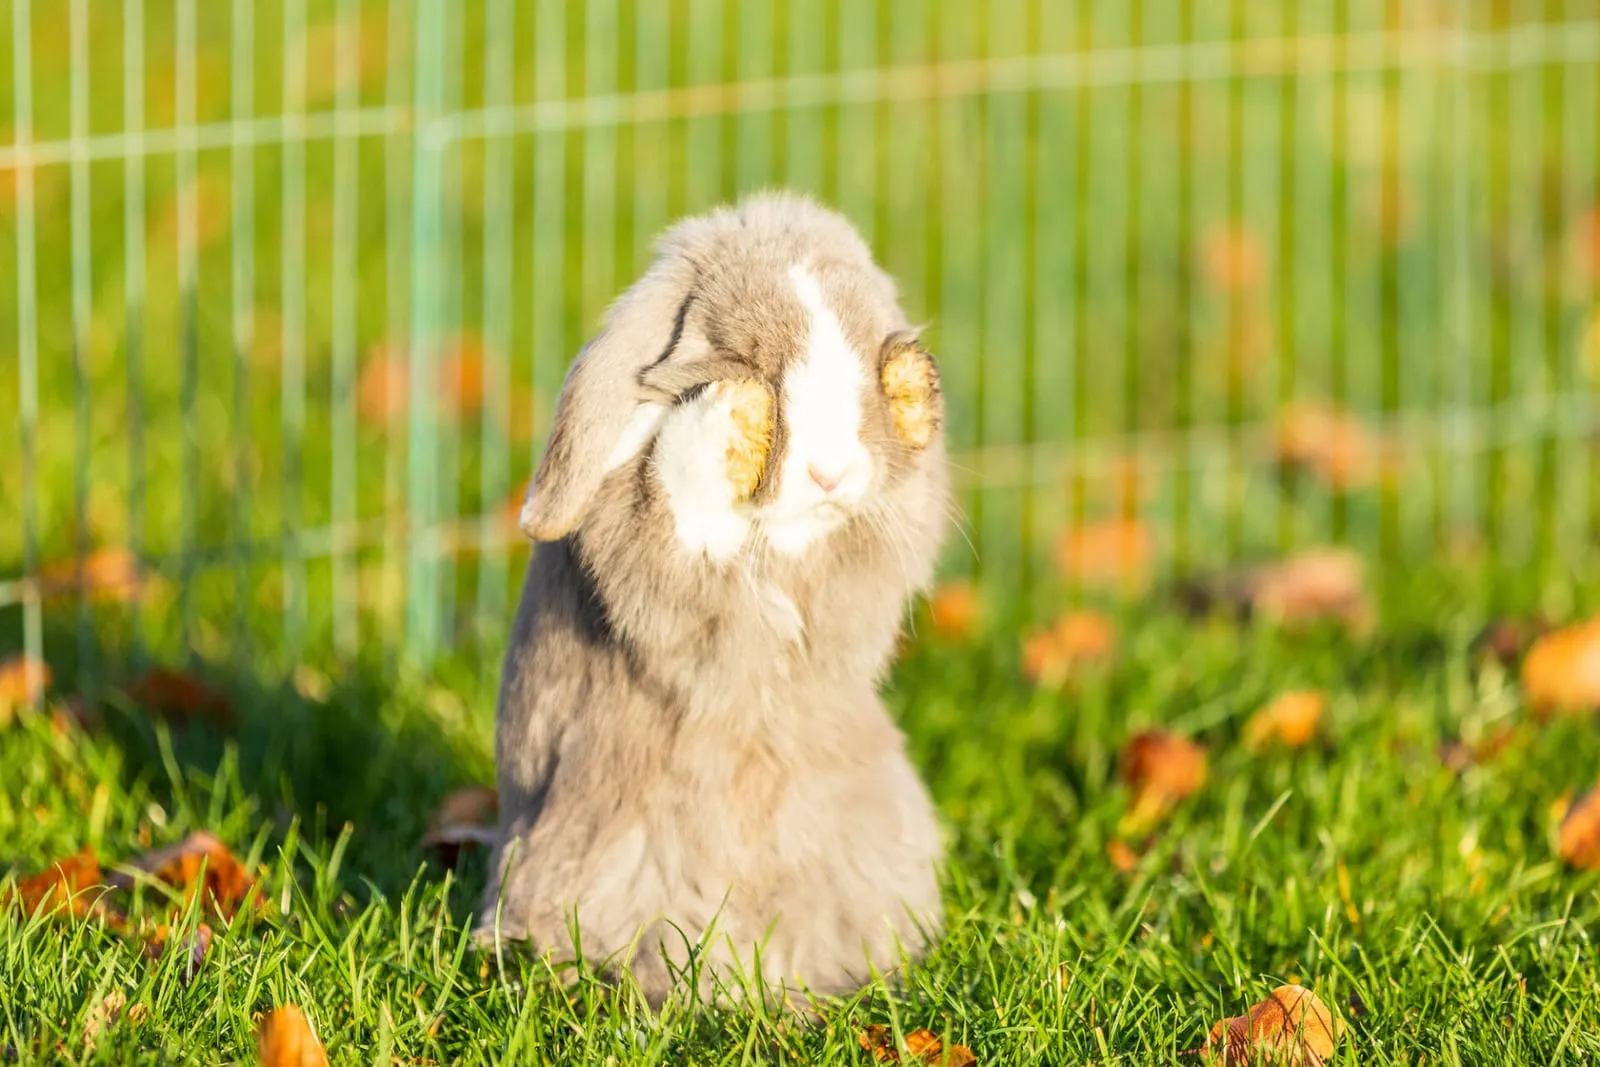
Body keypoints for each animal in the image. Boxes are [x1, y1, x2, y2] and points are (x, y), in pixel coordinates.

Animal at [476, 190, 949, 1009]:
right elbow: (677, 502)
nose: (830, 472)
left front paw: (913, 389)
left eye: (862, 365)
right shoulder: (665, 587)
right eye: (742, 358)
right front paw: (722, 417)